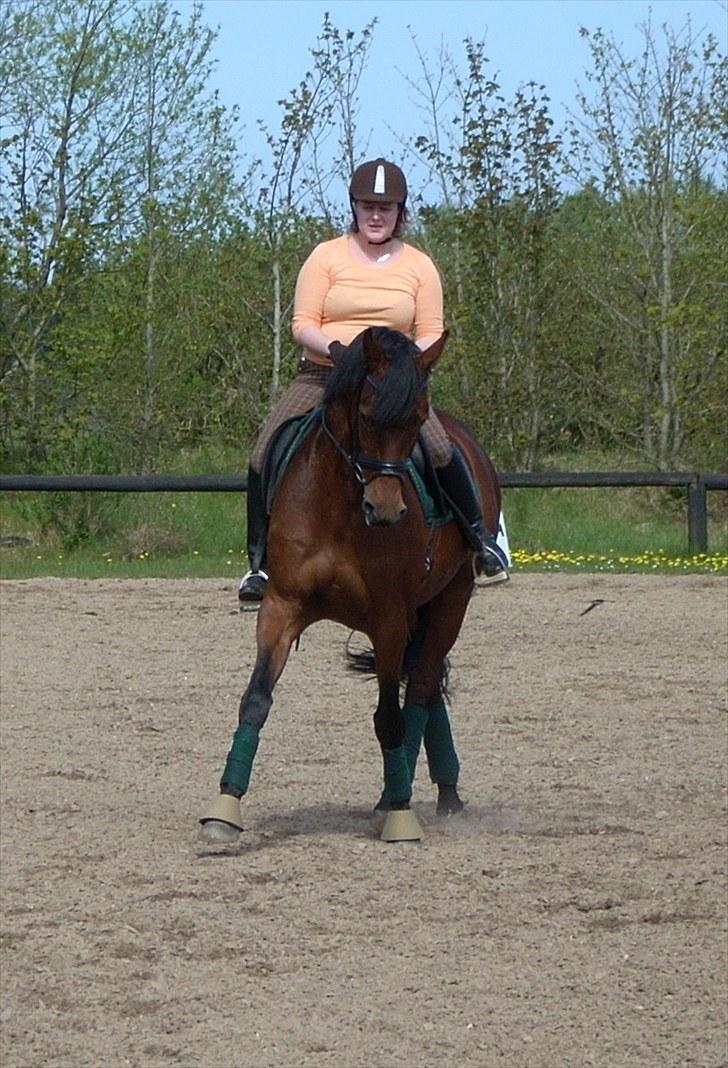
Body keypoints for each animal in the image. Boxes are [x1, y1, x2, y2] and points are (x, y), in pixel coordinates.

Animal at [201, 324, 501, 841]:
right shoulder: (281, 607)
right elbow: (255, 700)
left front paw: (399, 813)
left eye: (416, 420)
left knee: (420, 691)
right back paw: (440, 792)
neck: (340, 506)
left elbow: (390, 718)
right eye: (365, 415)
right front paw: (225, 809)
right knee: (424, 687)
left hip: (451, 599)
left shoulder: (388, 619)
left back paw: (409, 797)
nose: (385, 510)